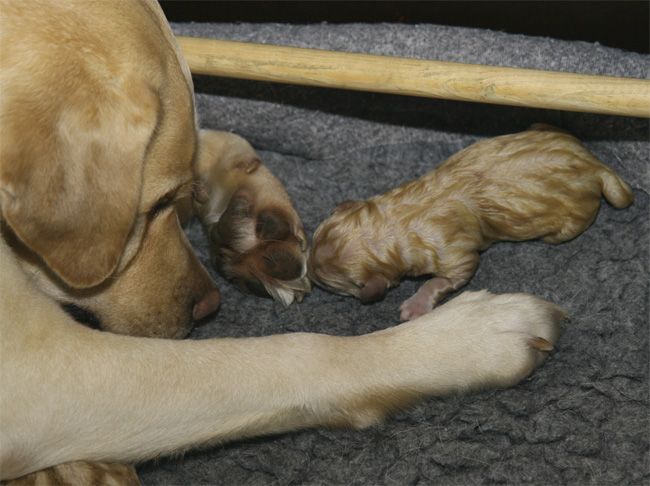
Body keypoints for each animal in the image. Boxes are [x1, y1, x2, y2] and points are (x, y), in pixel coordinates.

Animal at [308, 125, 632, 320]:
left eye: (324, 282)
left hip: (569, 224)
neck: (397, 219)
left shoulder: (455, 253)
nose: (307, 274)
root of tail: (596, 166)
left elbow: (444, 278)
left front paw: (415, 305)